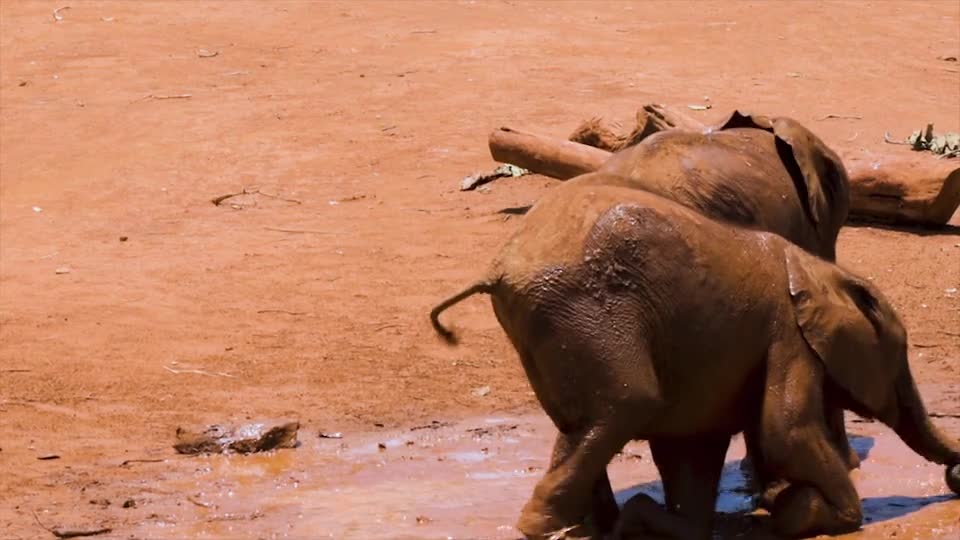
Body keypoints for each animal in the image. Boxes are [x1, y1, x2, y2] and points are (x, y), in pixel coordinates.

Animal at [430, 184, 960, 536]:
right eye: (900, 356)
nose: (955, 476)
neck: (823, 272)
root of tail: (499, 270)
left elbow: (695, 445)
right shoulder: (788, 336)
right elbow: (785, 430)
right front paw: (834, 515)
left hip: (550, 325)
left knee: (580, 424)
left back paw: (606, 524)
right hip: (586, 312)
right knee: (626, 405)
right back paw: (546, 527)